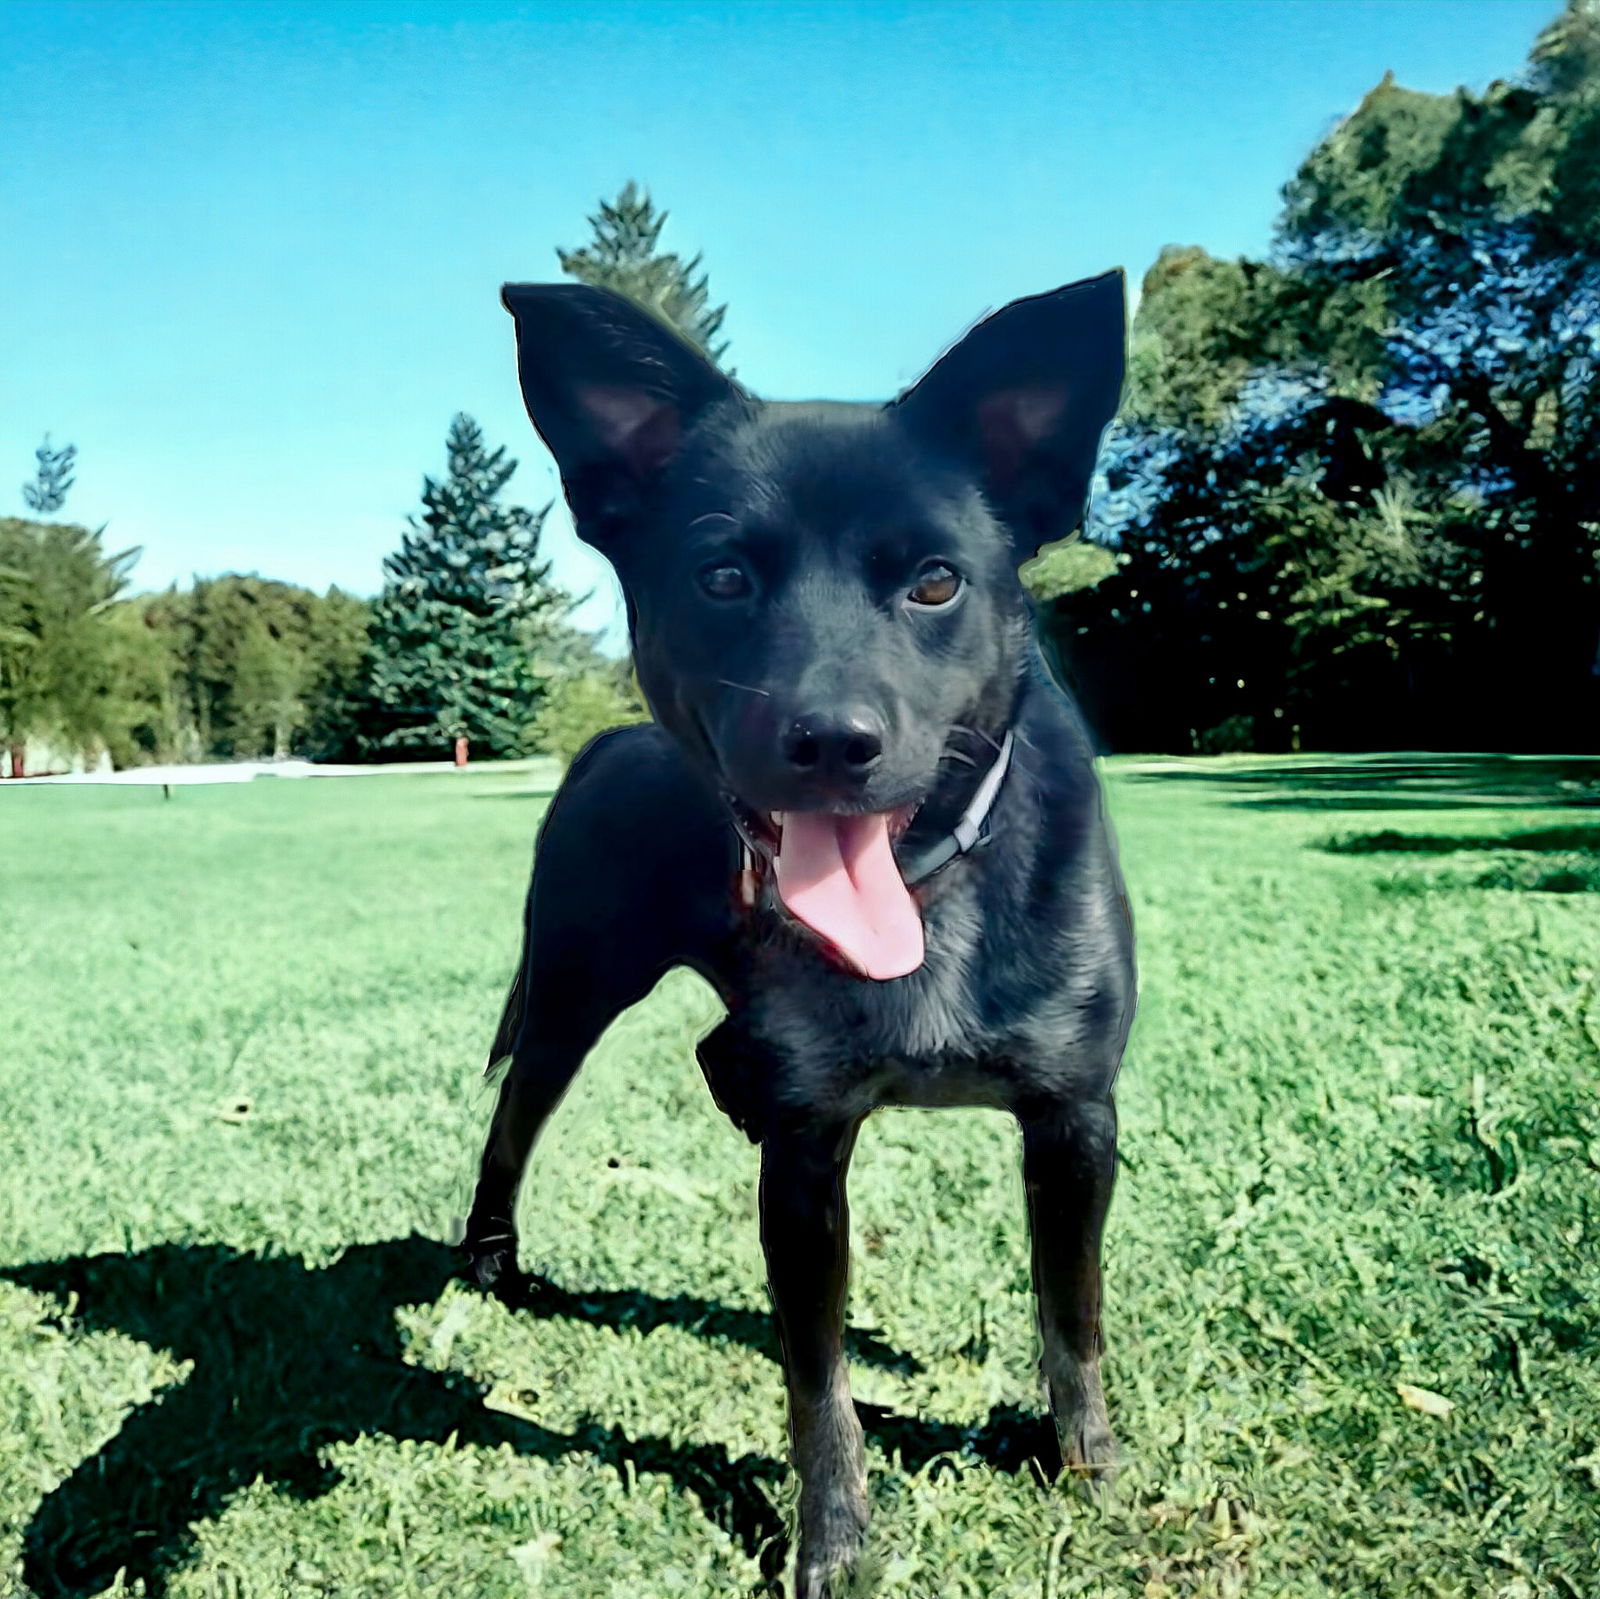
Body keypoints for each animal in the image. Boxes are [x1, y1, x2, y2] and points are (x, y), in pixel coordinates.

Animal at [464, 278, 1139, 1599]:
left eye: (934, 583)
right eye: (722, 576)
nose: (830, 741)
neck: (927, 896)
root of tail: (602, 742)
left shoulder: (1075, 1117)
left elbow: (1071, 1313)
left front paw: (1089, 1469)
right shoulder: (808, 1150)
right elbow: (816, 1383)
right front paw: (834, 1542)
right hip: (569, 993)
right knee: (514, 1119)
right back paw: (488, 1260)